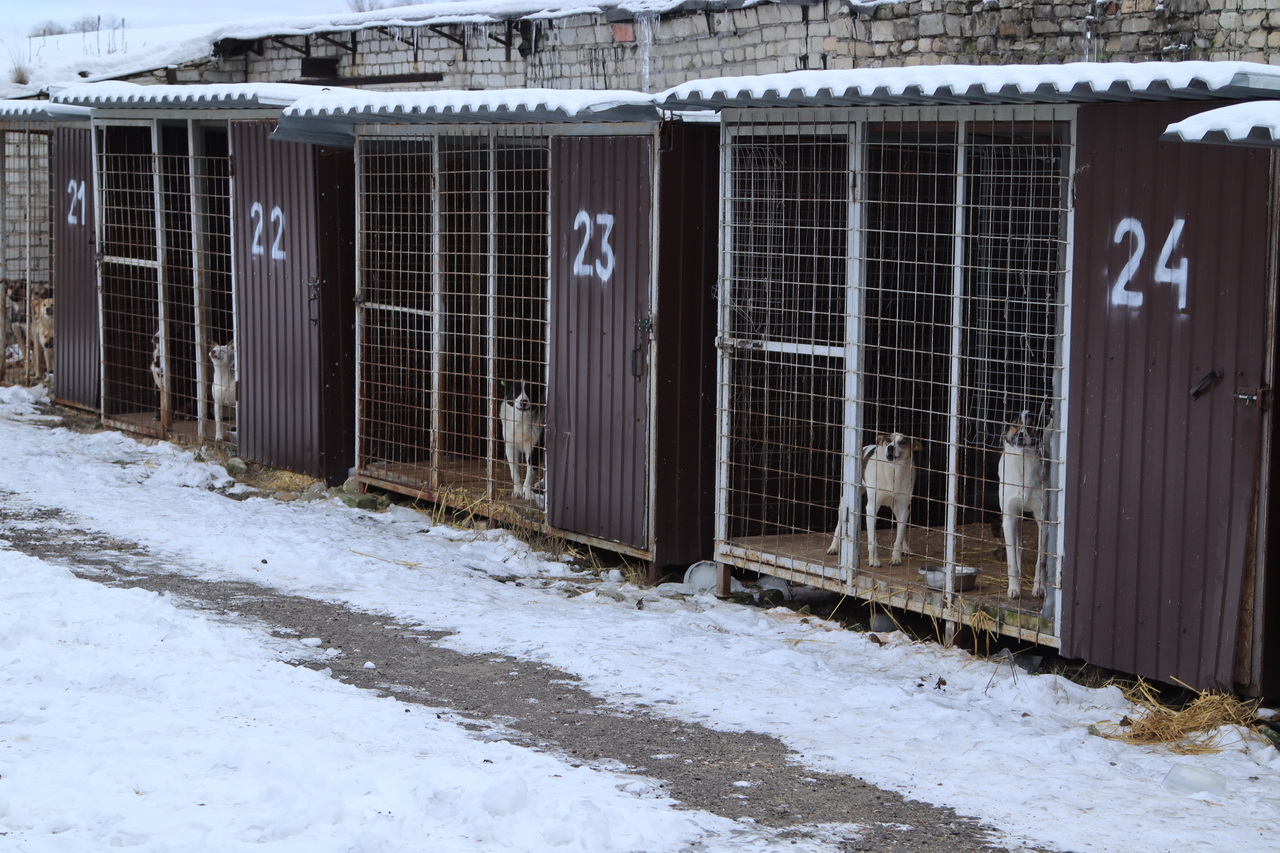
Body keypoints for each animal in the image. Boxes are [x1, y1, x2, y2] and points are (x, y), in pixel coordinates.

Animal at [829, 432, 921, 563]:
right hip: (844, 504)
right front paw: (874, 561)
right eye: (888, 440)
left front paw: (896, 558)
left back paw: (906, 548)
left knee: (901, 528)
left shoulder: (903, 508)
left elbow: (899, 536)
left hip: (896, 508)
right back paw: (833, 547)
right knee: (839, 525)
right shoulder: (872, 508)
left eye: (903, 442)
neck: (893, 471)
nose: (890, 448)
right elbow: (872, 541)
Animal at [998, 412, 1049, 596]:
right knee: (1017, 548)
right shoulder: (1009, 518)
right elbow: (1012, 561)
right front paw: (1014, 588)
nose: (1021, 435)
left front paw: (1039, 587)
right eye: (1014, 424)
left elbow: (1041, 561)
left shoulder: (1043, 521)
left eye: (1031, 425)